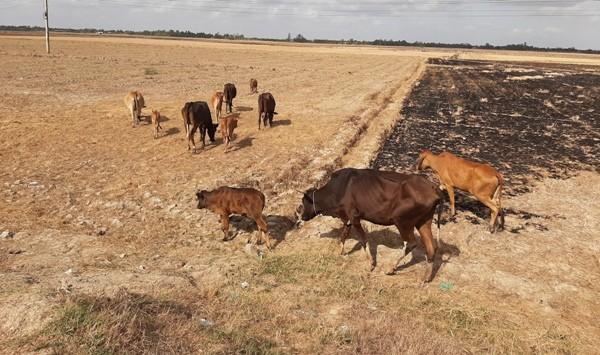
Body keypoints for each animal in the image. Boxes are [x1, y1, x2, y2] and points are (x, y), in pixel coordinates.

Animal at [298, 168, 442, 282]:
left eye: (304, 203)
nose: (301, 217)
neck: (338, 189)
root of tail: (434, 188)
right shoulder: (347, 218)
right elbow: (344, 235)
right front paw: (340, 252)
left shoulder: (354, 217)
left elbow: (363, 239)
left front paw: (371, 264)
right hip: (423, 221)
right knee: (431, 247)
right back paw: (426, 278)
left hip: (402, 221)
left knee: (411, 244)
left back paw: (391, 268)